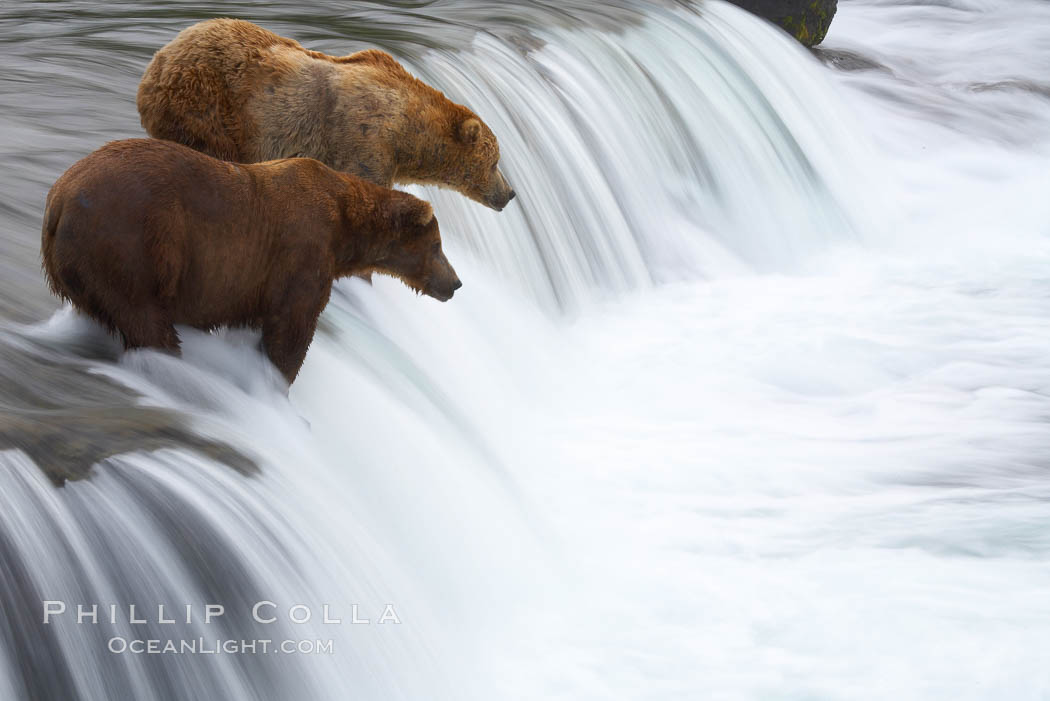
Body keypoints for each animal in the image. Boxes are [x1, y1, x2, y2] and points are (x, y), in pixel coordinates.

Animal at [40, 137, 459, 386]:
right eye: (438, 245)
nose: (455, 283)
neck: (344, 227)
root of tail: (57, 200)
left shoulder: (258, 282)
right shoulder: (302, 253)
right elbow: (292, 330)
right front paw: (279, 388)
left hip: (81, 269)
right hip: (129, 246)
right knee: (145, 320)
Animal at [139, 18, 516, 210]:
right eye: (494, 162)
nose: (511, 193)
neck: (407, 134)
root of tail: (160, 55)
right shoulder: (365, 141)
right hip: (208, 102)